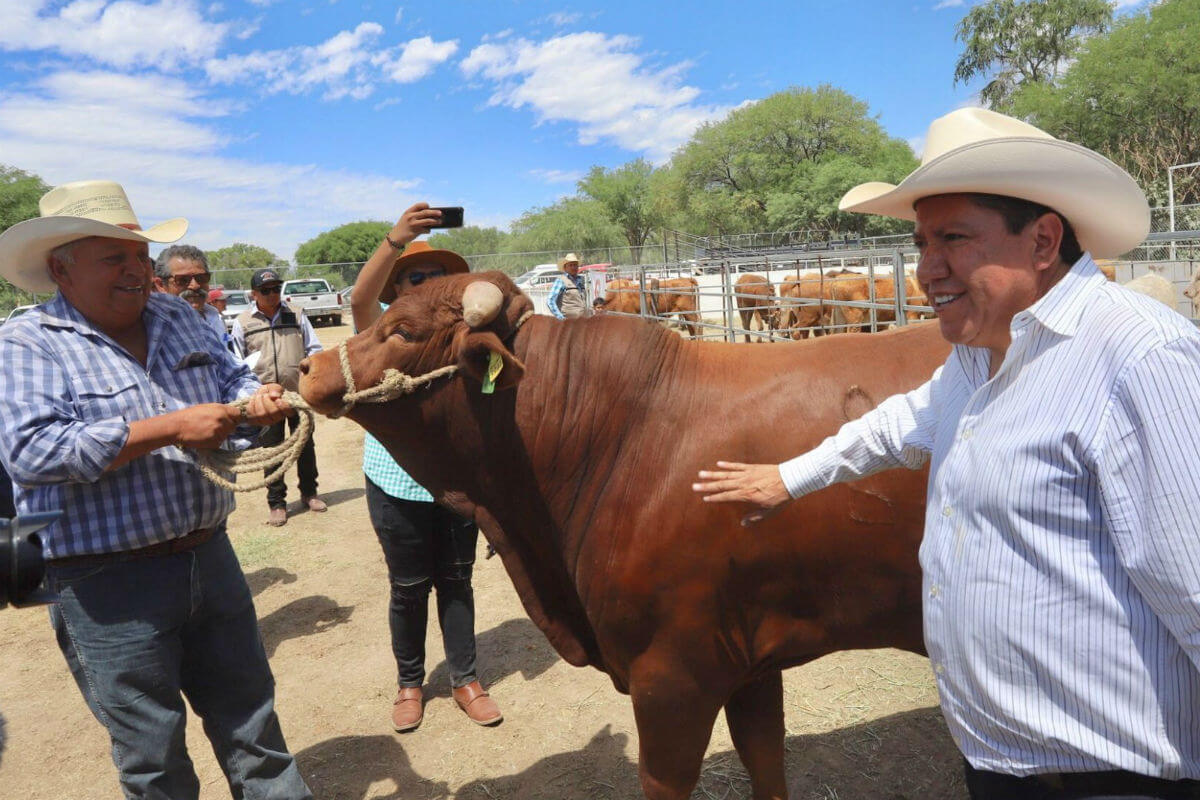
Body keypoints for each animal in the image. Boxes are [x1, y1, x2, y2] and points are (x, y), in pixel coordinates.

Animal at [297, 272, 945, 796]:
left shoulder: (672, 675)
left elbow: (666, 777)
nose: (308, 368)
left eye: (404, 331)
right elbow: (764, 757)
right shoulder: (753, 661)